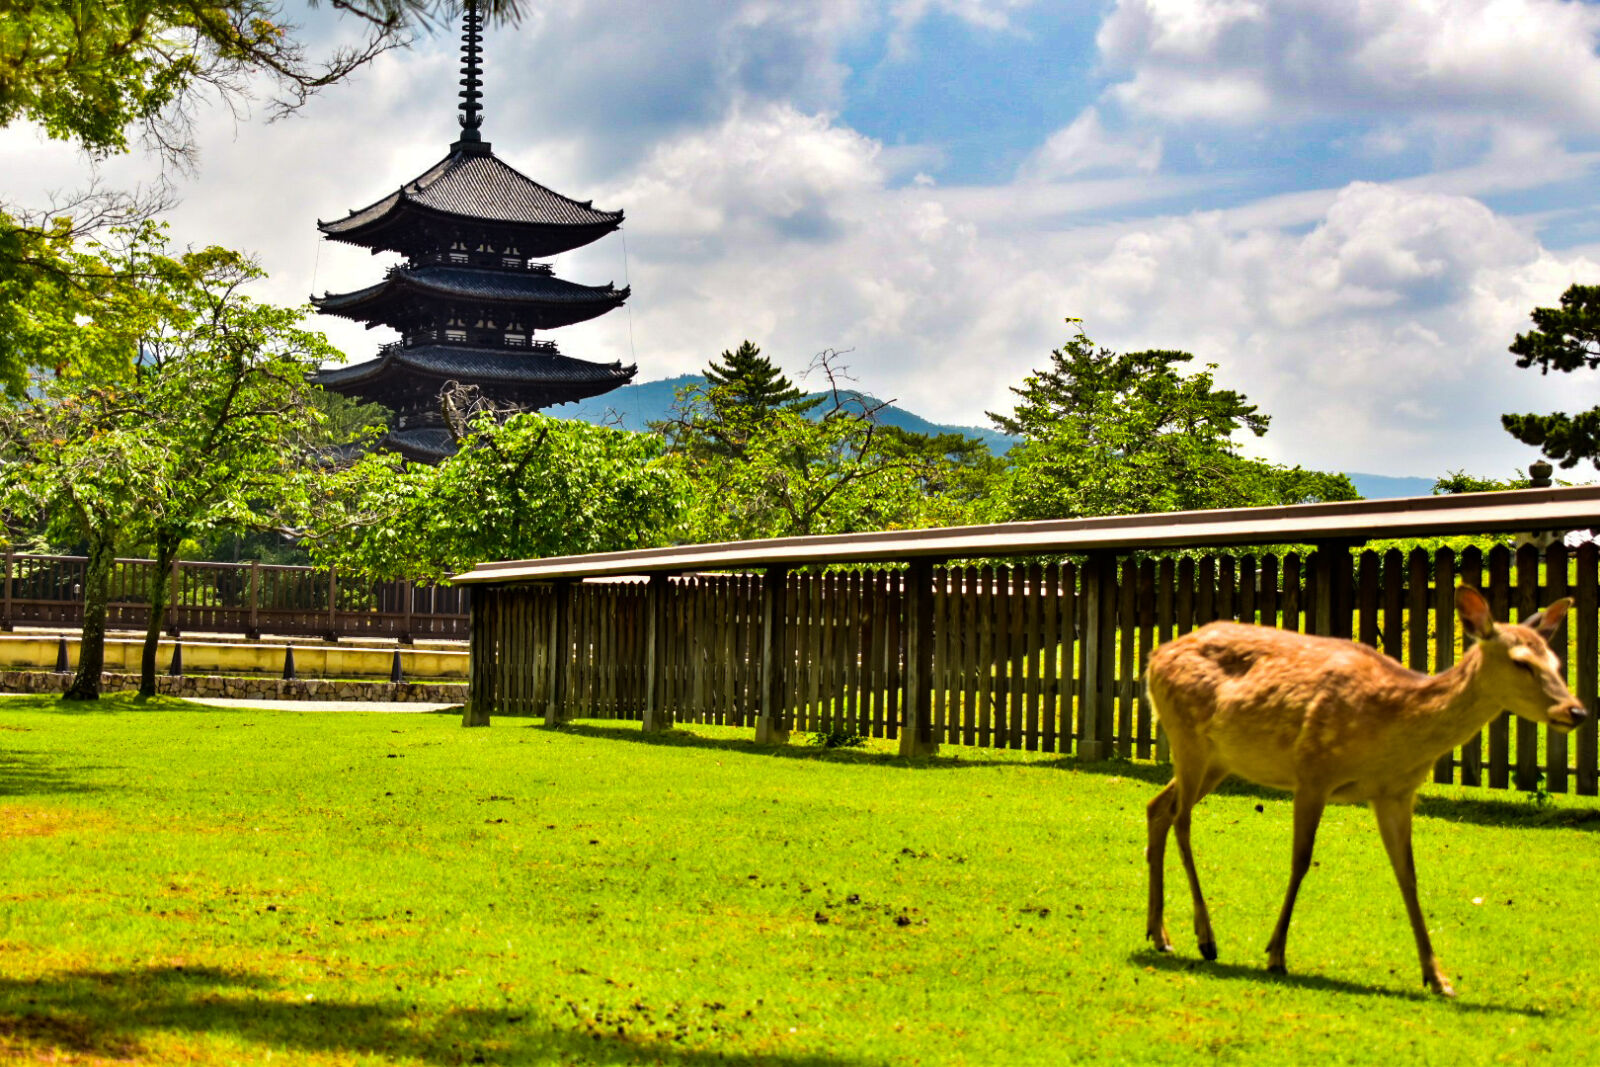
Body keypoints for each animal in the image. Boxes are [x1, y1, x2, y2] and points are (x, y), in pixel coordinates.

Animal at [1145, 579, 1580, 998]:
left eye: (1557, 663)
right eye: (1521, 662)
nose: (1575, 710)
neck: (1392, 723)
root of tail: (1154, 657)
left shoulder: (1395, 794)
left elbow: (1408, 874)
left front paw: (1438, 977)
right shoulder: (1313, 771)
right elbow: (1300, 861)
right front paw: (1276, 953)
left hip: (1220, 760)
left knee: (1158, 807)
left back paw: (1159, 934)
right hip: (1188, 737)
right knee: (1181, 818)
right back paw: (1205, 938)